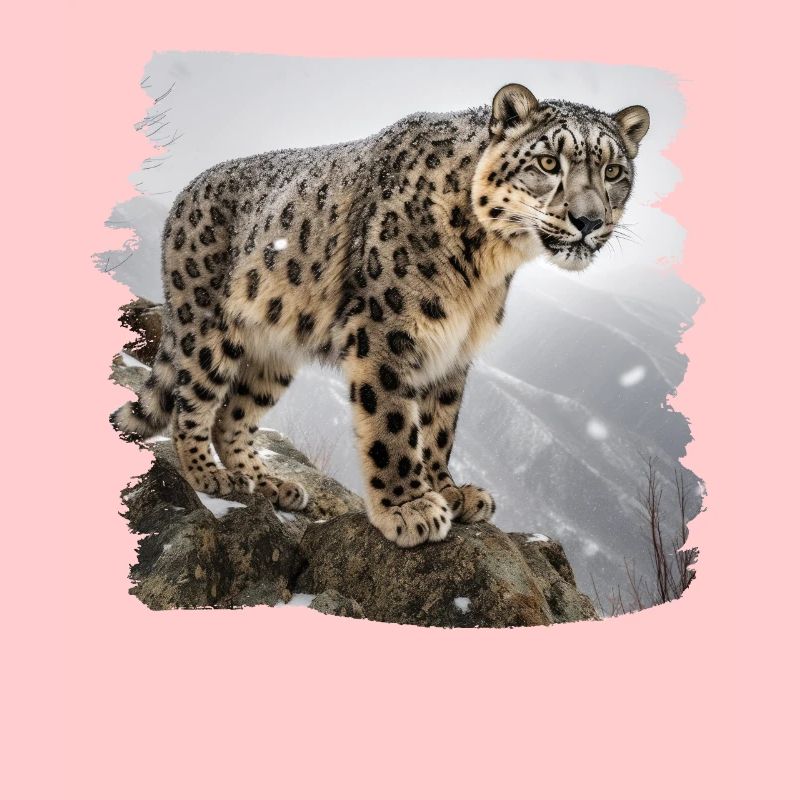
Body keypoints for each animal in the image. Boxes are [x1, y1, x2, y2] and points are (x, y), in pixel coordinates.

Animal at [112, 83, 650, 548]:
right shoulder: (387, 330)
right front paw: (410, 508)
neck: (487, 268)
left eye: (614, 172)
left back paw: (267, 483)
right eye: (547, 162)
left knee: (234, 417)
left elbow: (440, 426)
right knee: (192, 402)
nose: (588, 220)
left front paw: (450, 491)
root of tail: (185, 193)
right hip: (208, 324)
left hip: (274, 354)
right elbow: (393, 420)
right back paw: (211, 476)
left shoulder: (454, 349)